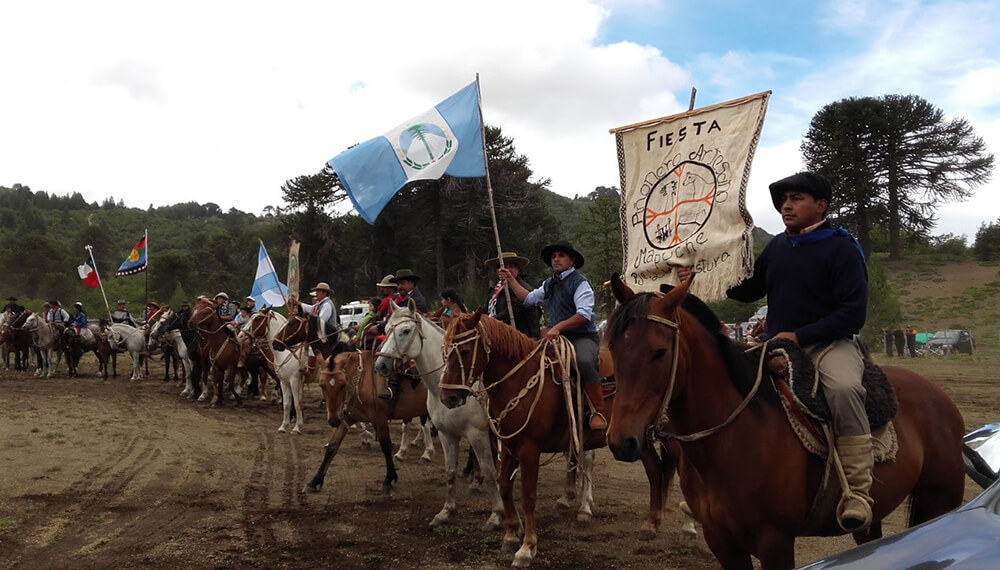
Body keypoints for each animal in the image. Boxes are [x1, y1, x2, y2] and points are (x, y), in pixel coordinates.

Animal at [374, 298, 504, 528]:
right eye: (387, 328)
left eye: (406, 331)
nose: (381, 364)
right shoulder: (446, 433)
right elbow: (450, 472)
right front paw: (446, 513)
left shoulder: (477, 433)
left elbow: (489, 471)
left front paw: (496, 515)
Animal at [442, 310, 620, 568]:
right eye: (445, 351)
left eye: (465, 351)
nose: (448, 397)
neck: (518, 380)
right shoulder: (509, 446)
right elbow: (504, 486)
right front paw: (510, 534)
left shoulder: (529, 450)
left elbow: (528, 496)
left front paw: (527, 547)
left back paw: (586, 508)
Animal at [604, 272, 964, 564]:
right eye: (613, 350)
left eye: (660, 352)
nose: (621, 440)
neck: (734, 438)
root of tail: (938, 394)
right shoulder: (721, 541)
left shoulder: (774, 541)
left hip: (942, 500)